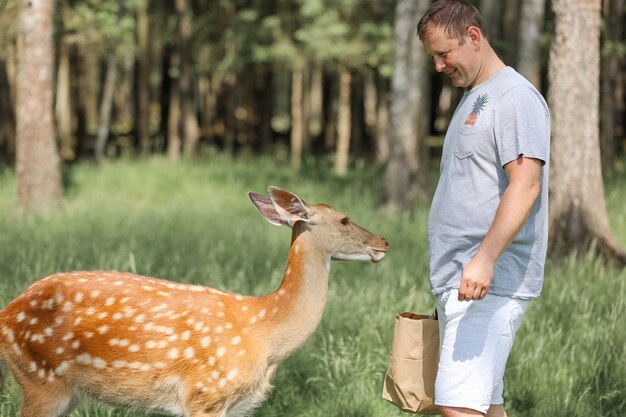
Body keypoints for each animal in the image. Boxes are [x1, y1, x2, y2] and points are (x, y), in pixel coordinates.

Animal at [0, 187, 386, 414]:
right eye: (345, 219)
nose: (384, 242)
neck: (265, 336)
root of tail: (6, 314)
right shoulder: (205, 393)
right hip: (40, 378)